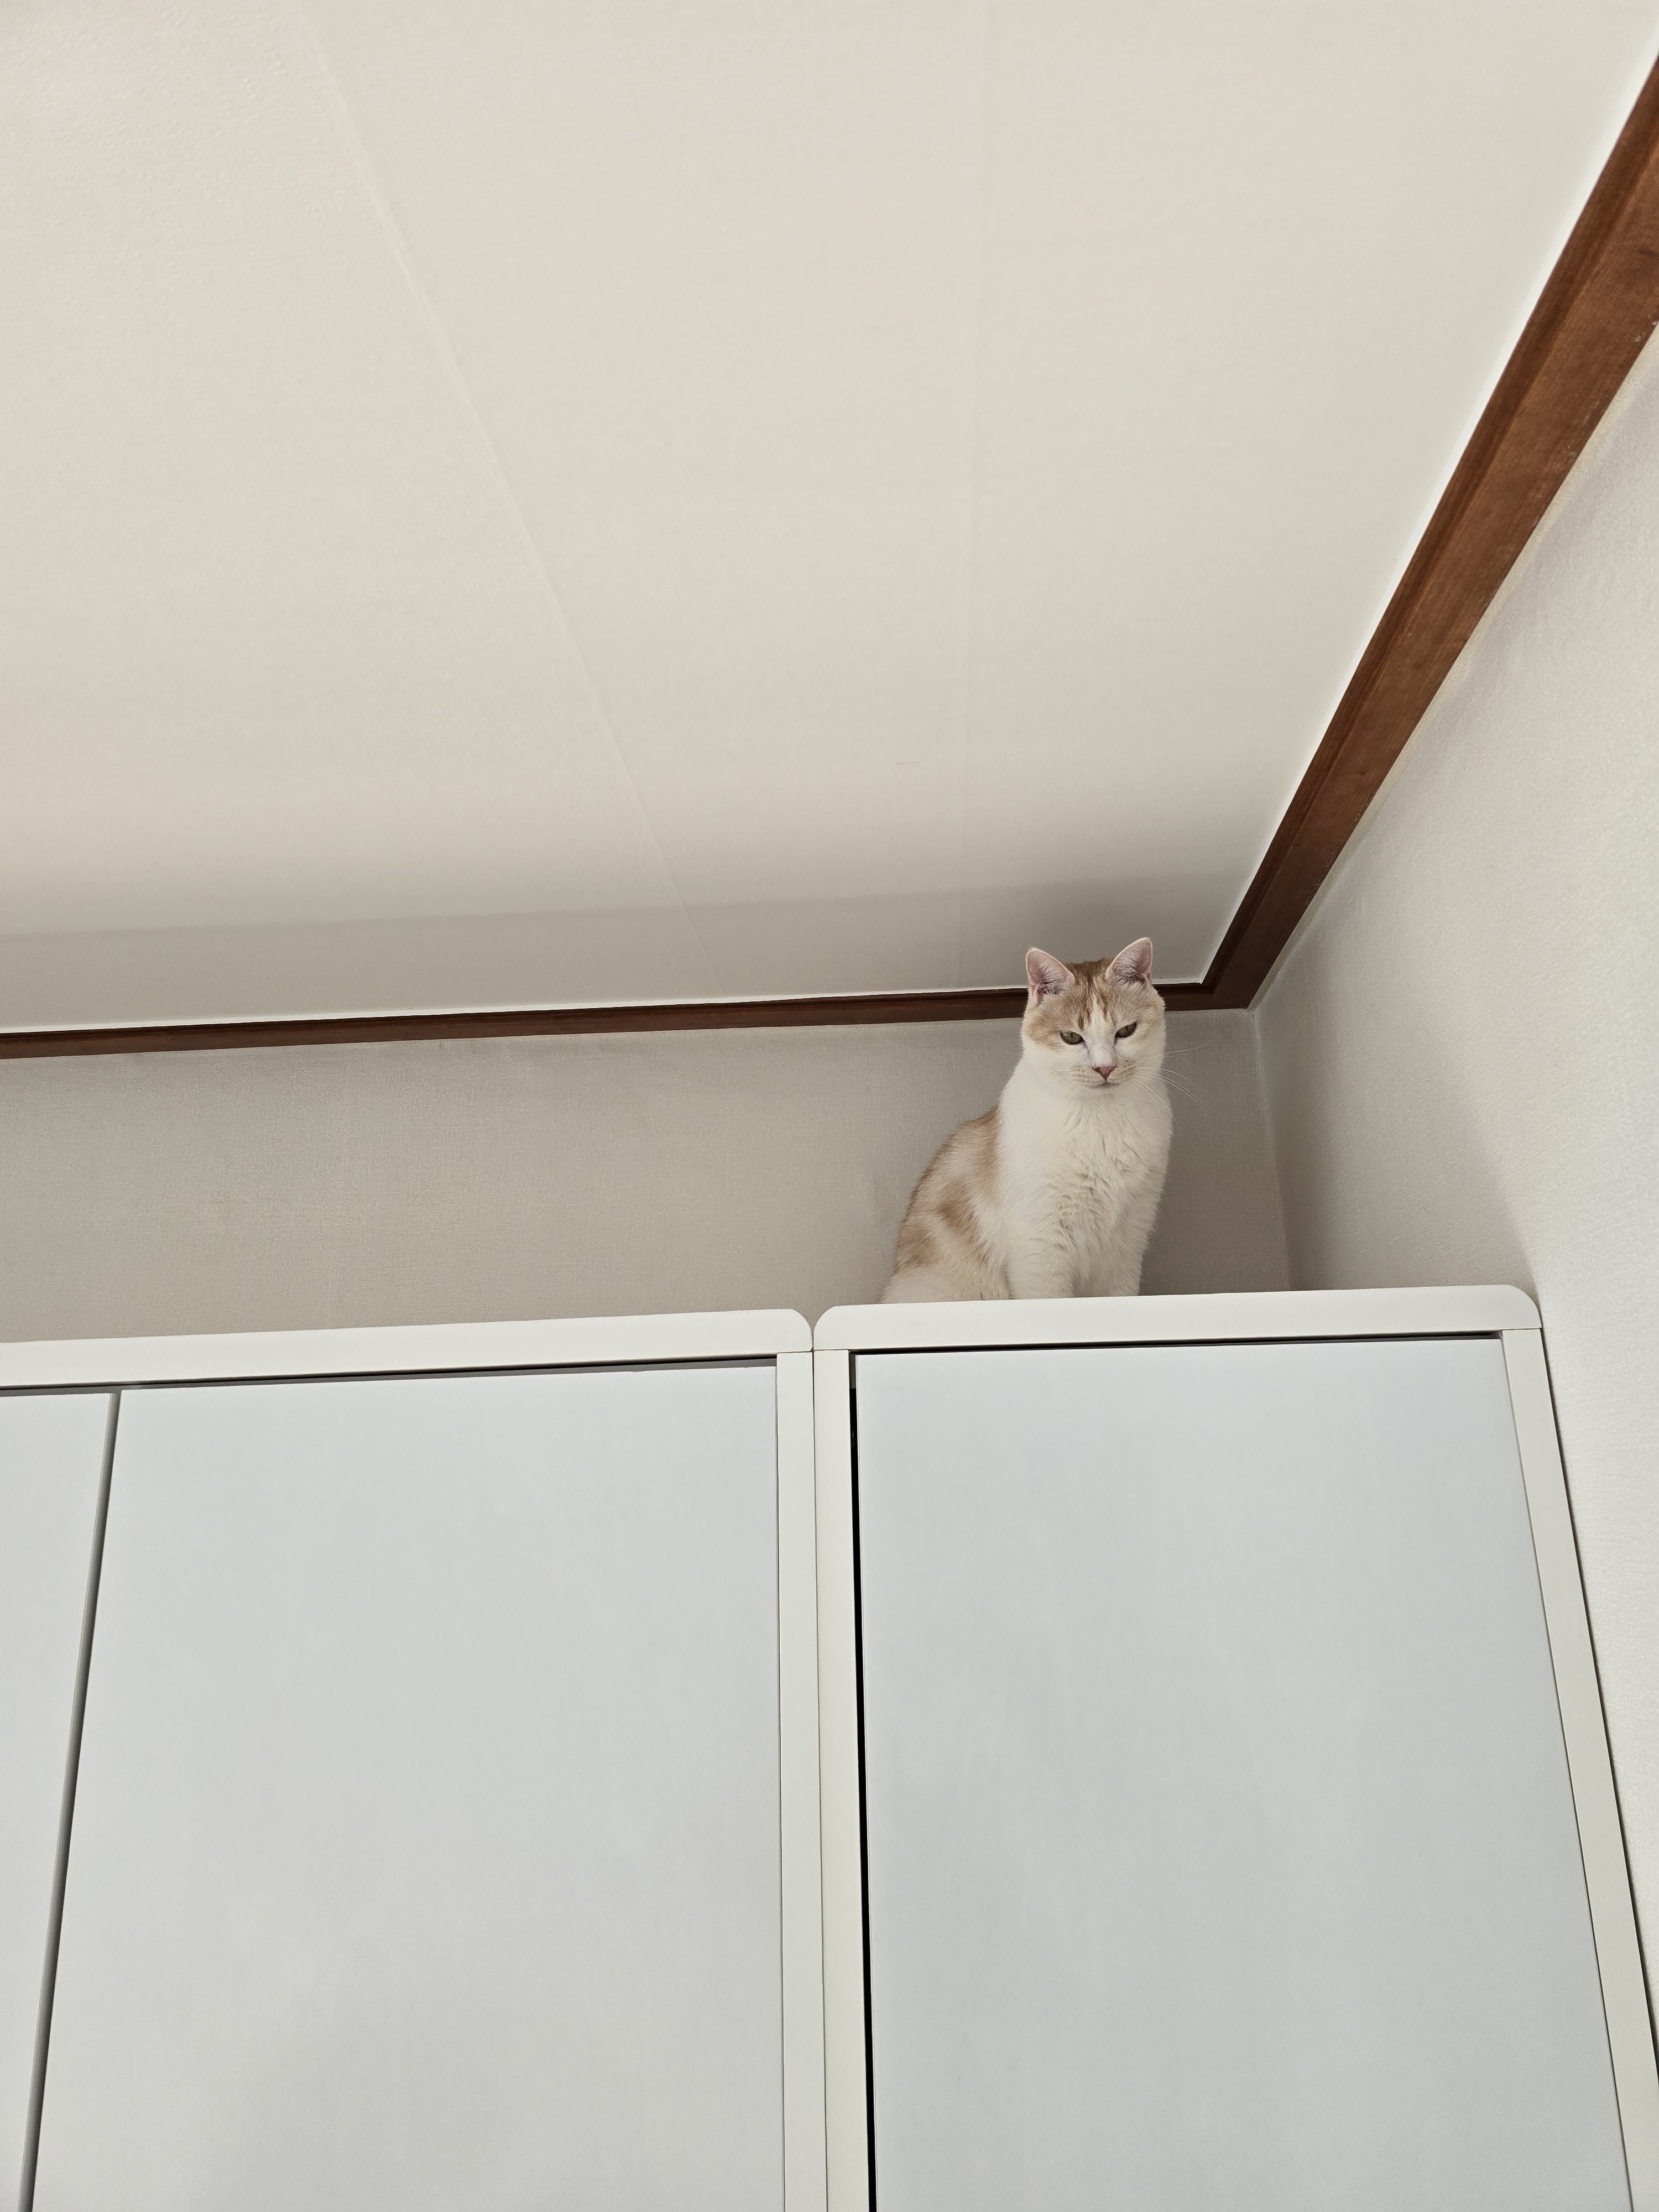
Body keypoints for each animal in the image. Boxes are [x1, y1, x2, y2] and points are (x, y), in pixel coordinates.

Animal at [881, 938, 1172, 1302]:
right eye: (1071, 1037)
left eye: (1127, 1031)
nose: (1105, 1068)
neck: (1102, 1122)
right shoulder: (1042, 1245)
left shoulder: (1129, 1240)